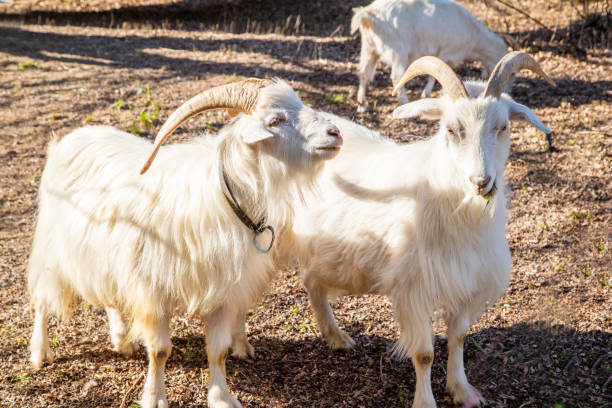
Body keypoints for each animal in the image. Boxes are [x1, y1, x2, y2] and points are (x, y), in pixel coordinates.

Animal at [272, 52, 556, 406]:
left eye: (502, 127)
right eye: (451, 129)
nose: (481, 182)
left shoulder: (467, 283)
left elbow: (458, 338)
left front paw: (462, 390)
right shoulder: (414, 288)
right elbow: (423, 354)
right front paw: (425, 401)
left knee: (311, 280)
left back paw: (335, 336)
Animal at [352, 0, 512, 111]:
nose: (508, 91)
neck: (474, 35)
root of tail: (368, 14)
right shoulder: (446, 52)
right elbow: (435, 75)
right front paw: (426, 93)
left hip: (369, 48)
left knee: (364, 72)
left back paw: (362, 104)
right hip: (398, 50)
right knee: (396, 76)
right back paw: (404, 101)